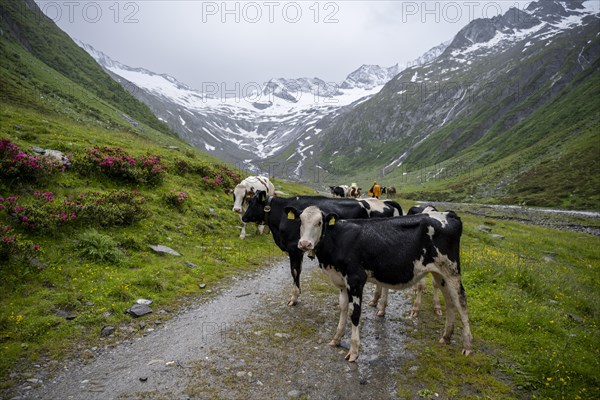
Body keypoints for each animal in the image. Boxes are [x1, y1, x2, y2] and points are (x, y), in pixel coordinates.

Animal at [241, 191, 400, 306]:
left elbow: (294, 271)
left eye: (252, 202)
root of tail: (384, 202)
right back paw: (375, 301)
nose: (243, 217)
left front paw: (294, 297)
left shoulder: (294, 248)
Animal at [292, 208, 474, 360]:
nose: (304, 244)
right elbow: (343, 308)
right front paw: (336, 339)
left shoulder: (356, 280)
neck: (337, 239)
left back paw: (467, 345)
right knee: (450, 300)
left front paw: (354, 351)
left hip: (451, 270)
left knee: (461, 301)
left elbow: (354, 313)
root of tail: (449, 214)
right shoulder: (342, 282)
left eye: (319, 222)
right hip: (440, 273)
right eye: (300, 221)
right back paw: (446, 336)